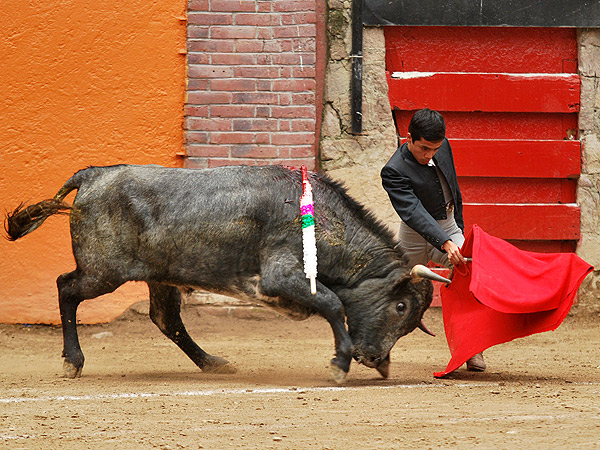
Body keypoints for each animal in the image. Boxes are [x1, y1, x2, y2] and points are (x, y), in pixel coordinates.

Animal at [3, 165, 446, 384]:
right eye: (400, 306)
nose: (375, 358)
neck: (323, 220)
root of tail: (93, 174)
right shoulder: (281, 277)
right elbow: (334, 304)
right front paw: (339, 364)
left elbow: (333, 305)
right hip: (103, 271)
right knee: (66, 288)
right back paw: (73, 362)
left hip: (158, 275)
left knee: (166, 319)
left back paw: (213, 363)